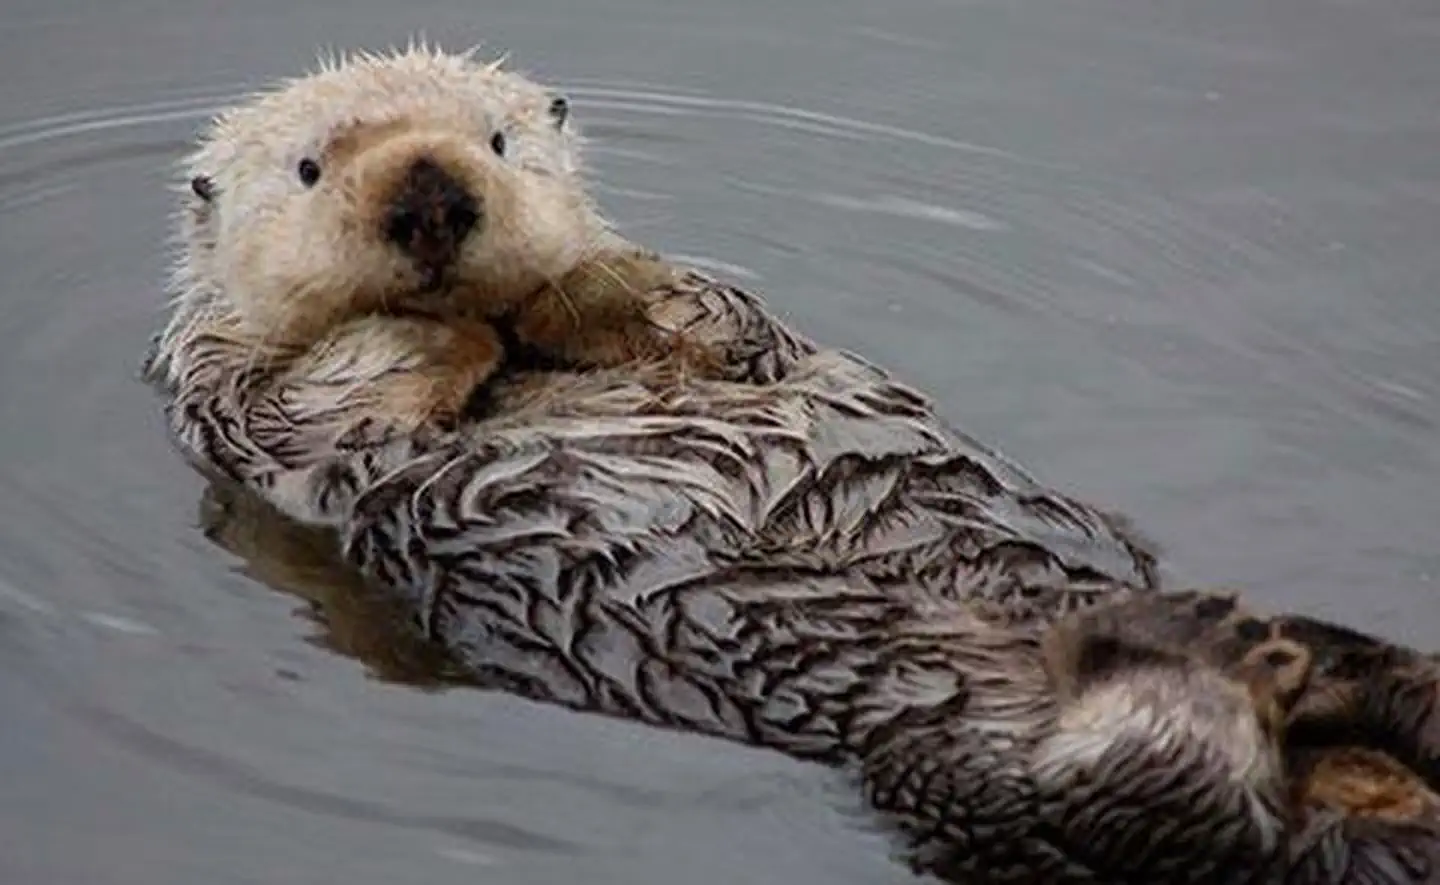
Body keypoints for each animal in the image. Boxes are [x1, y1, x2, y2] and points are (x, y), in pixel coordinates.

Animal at [143, 44, 1440, 883]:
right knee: (1151, 792)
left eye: (498, 139)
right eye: (309, 168)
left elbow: (711, 319)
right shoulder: (239, 414)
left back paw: (1331, 656)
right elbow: (320, 402)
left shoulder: (741, 341)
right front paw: (422, 334)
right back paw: (1214, 643)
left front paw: (586, 278)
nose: (430, 193)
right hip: (957, 772)